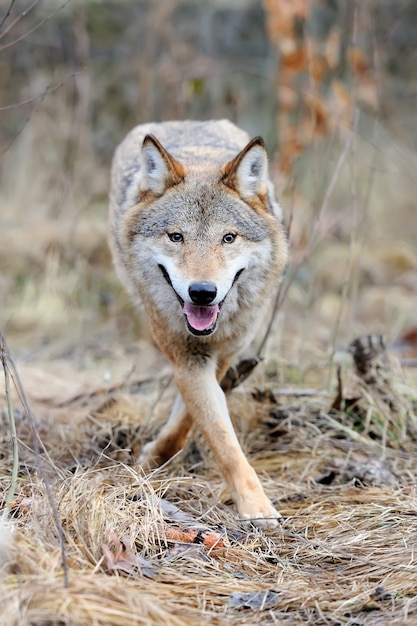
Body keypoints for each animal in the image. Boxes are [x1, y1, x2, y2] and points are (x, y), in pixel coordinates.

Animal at [109, 118, 288, 528]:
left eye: (228, 238)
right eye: (176, 236)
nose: (203, 292)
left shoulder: (219, 355)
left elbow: (193, 420)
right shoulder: (187, 356)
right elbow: (221, 439)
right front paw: (255, 508)